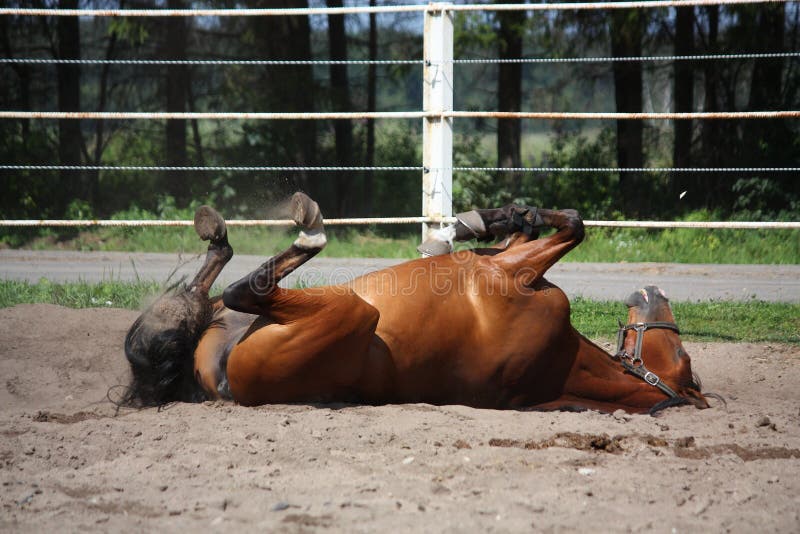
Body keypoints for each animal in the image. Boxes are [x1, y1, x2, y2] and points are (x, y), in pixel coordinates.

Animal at [123, 192, 711, 414]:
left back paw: (297, 228)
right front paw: (494, 217)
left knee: (238, 290)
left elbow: (572, 225)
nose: (656, 293)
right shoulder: (507, 264)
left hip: (351, 311)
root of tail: (222, 385)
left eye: (685, 362)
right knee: (210, 295)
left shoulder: (509, 272)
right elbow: (547, 227)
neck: (556, 365)